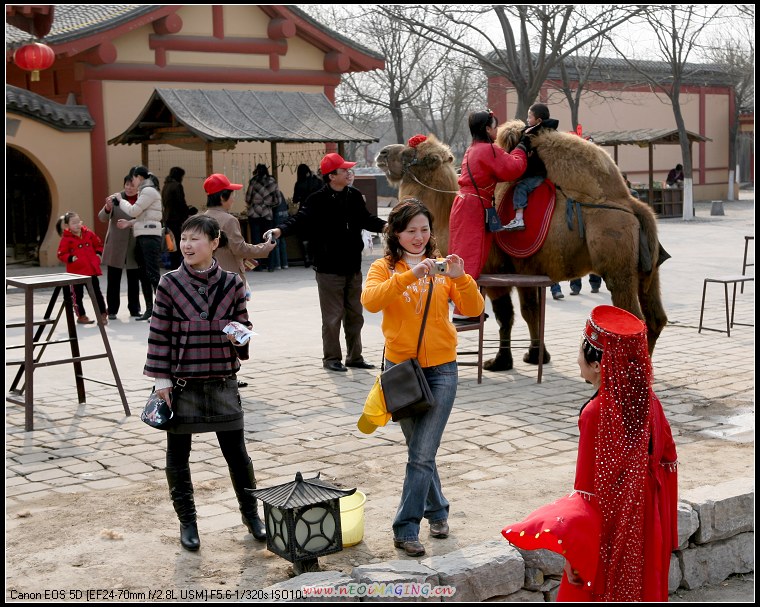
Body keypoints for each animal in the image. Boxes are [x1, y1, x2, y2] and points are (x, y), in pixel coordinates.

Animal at [378, 129, 668, 370]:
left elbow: (505, 315)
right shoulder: (527, 271)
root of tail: (631, 204)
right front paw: (535, 355)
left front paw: (499, 361)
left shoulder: (496, 273)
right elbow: (532, 313)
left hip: (616, 261)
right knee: (655, 318)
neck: (446, 214)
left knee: (634, 317)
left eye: (412, 154)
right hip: (647, 269)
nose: (382, 153)